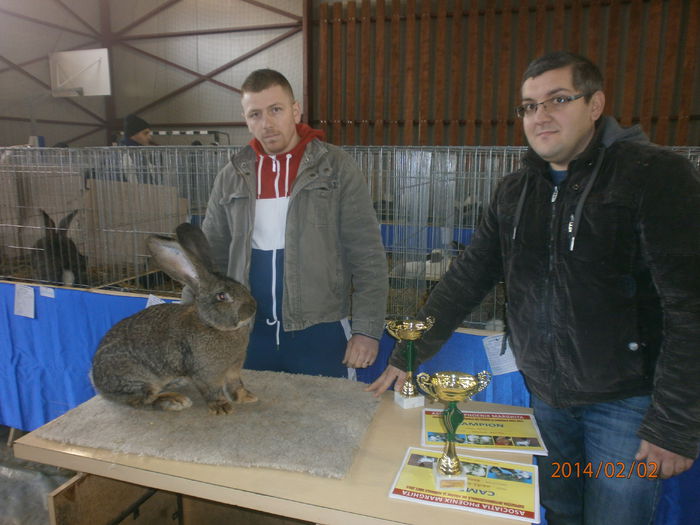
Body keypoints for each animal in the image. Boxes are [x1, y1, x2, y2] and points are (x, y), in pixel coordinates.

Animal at [91, 221, 258, 414]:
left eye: (241, 286)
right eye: (222, 296)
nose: (252, 308)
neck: (210, 325)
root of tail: (95, 381)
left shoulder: (233, 369)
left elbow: (235, 385)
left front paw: (247, 397)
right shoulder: (206, 374)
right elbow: (212, 391)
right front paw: (222, 407)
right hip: (138, 379)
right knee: (144, 399)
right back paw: (175, 400)